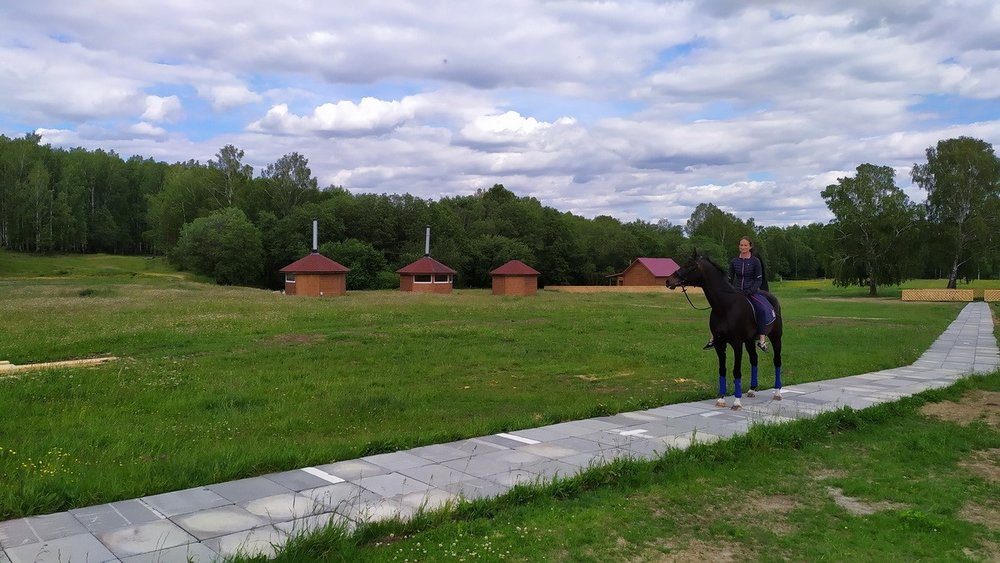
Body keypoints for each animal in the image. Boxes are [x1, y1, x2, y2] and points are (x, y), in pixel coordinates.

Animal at [668, 251, 784, 410]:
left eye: (691, 266)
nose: (668, 280)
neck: (726, 306)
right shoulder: (719, 343)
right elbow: (722, 370)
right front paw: (721, 399)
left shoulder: (736, 344)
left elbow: (736, 371)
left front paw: (736, 402)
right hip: (749, 342)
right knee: (754, 360)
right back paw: (752, 390)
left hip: (776, 337)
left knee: (777, 360)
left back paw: (777, 392)